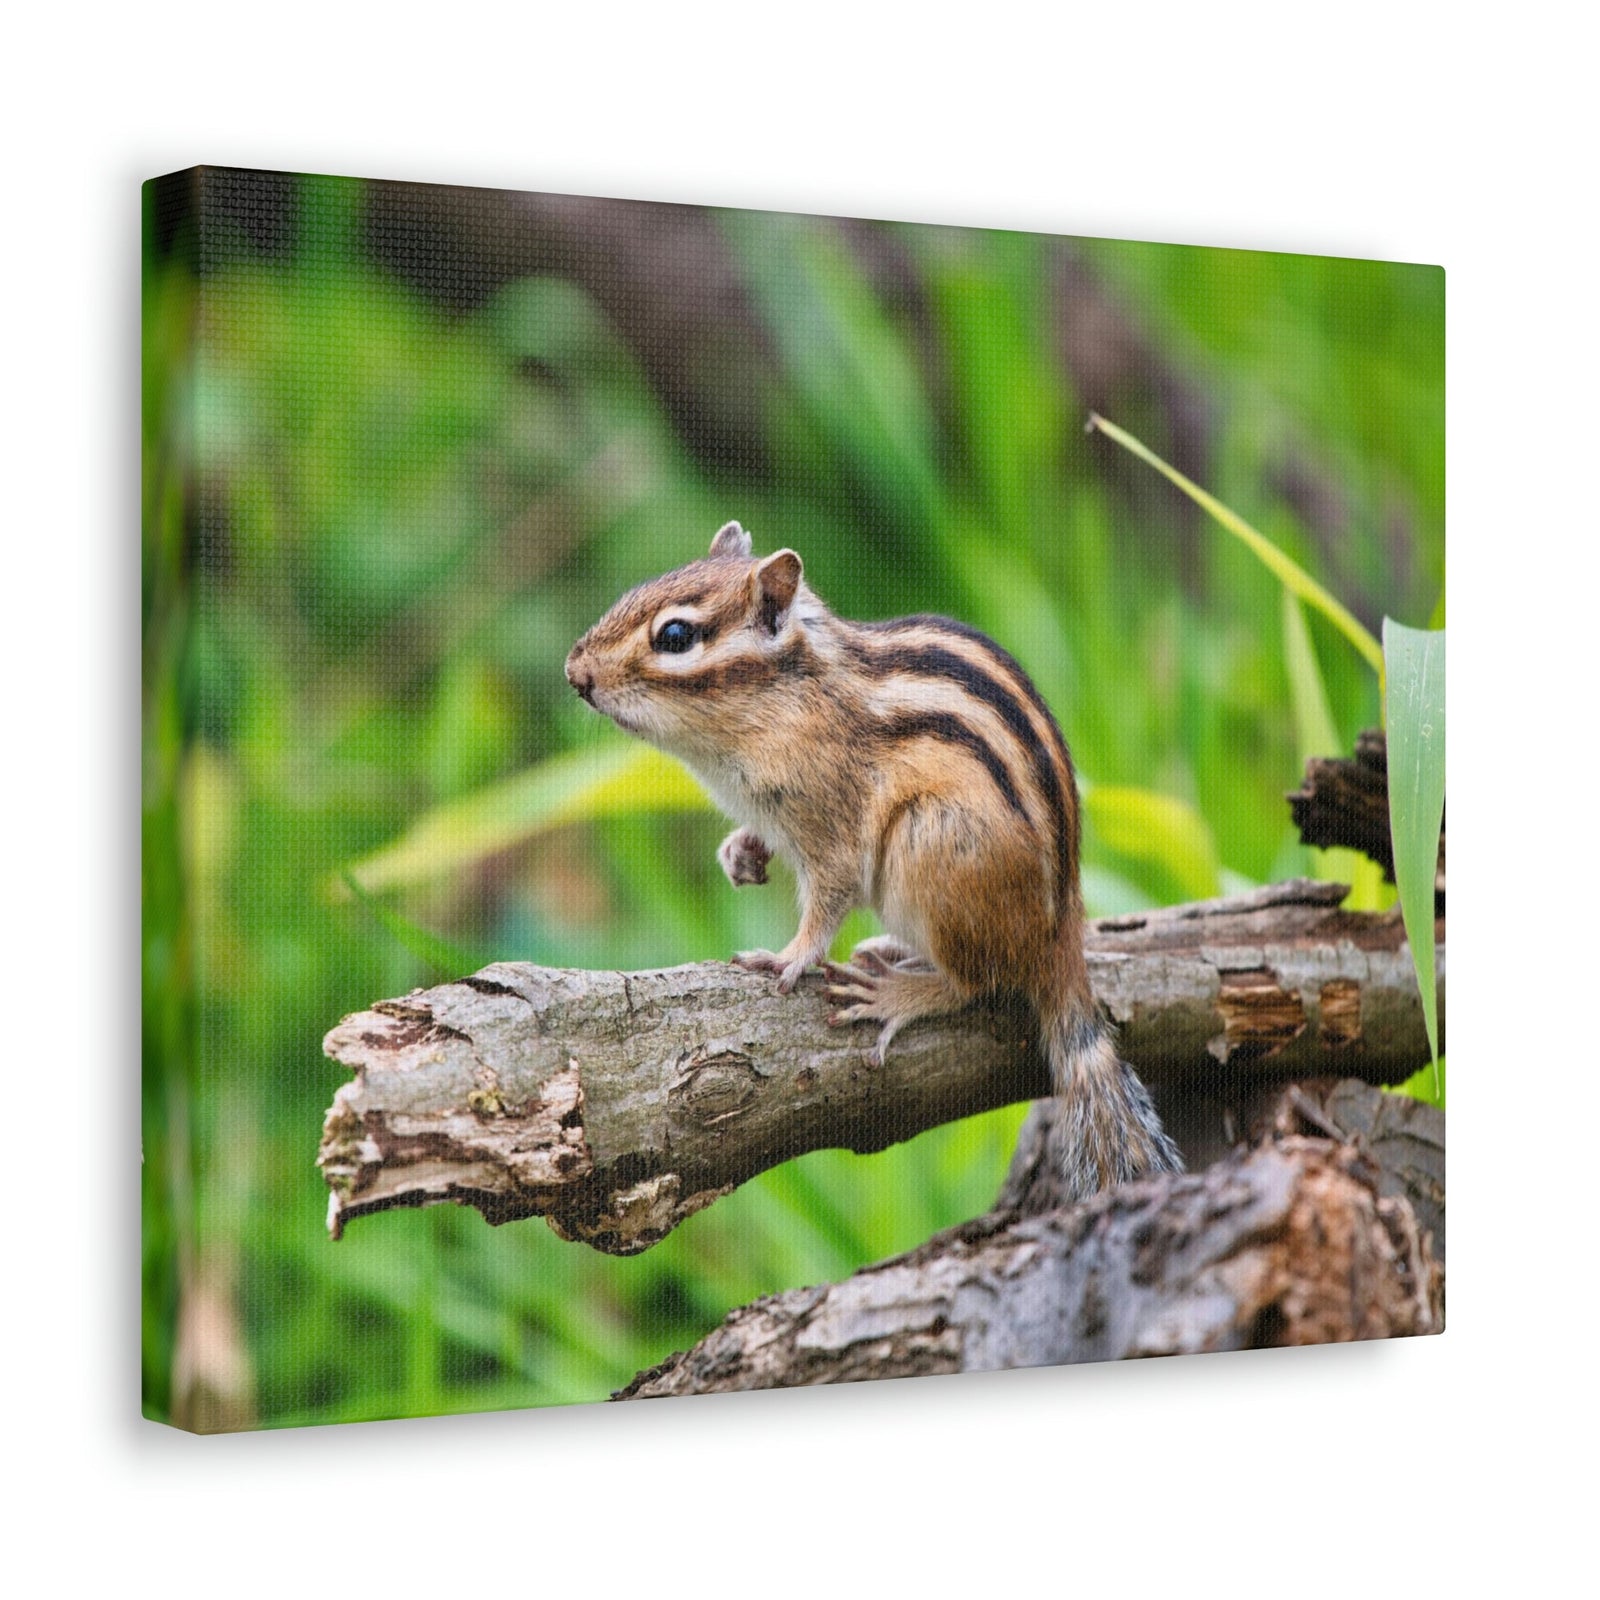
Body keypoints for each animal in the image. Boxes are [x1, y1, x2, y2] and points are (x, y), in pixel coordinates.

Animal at [565, 520, 1184, 1201]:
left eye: (674, 636)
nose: (574, 672)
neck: (785, 700)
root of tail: (1060, 936)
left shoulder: (834, 824)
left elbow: (829, 899)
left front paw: (789, 956)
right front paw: (740, 853)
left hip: (930, 843)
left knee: (976, 982)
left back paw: (897, 993)